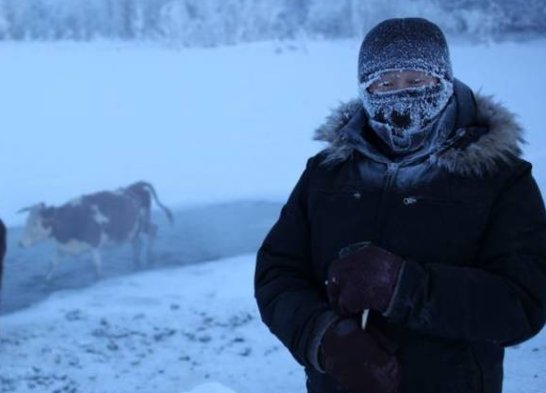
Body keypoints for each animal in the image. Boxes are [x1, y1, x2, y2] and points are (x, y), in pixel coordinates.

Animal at [18, 181, 172, 278]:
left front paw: (98, 279)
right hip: (133, 230)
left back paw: (150, 256)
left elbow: (96, 266)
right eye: (26, 221)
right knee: (137, 243)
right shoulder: (63, 248)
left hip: (143, 222)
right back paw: (136, 262)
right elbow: (52, 264)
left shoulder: (94, 245)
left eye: (36, 223)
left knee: (153, 230)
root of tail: (135, 185)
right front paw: (46, 280)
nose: (20, 243)